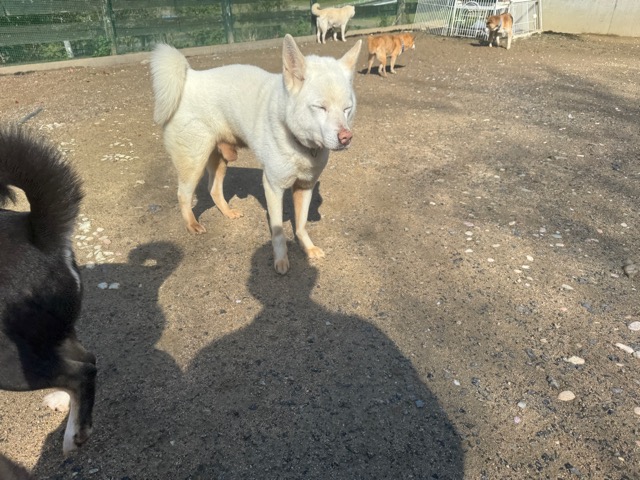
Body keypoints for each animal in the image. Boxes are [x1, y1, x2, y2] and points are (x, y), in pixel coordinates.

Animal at [0, 125, 96, 455]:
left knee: (80, 373)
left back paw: (75, 435)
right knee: (86, 359)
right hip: (52, 335)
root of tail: (37, 234)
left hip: (7, 358)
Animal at [151, 35, 362, 274]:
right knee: (183, 194)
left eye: (347, 109)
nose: (346, 137)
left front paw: (307, 247)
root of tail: (190, 78)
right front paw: (281, 259)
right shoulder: (273, 186)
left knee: (213, 189)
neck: (299, 143)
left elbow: (301, 224)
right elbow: (278, 231)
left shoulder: (304, 186)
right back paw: (191, 224)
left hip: (220, 158)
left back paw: (228, 212)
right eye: (320, 107)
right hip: (193, 160)